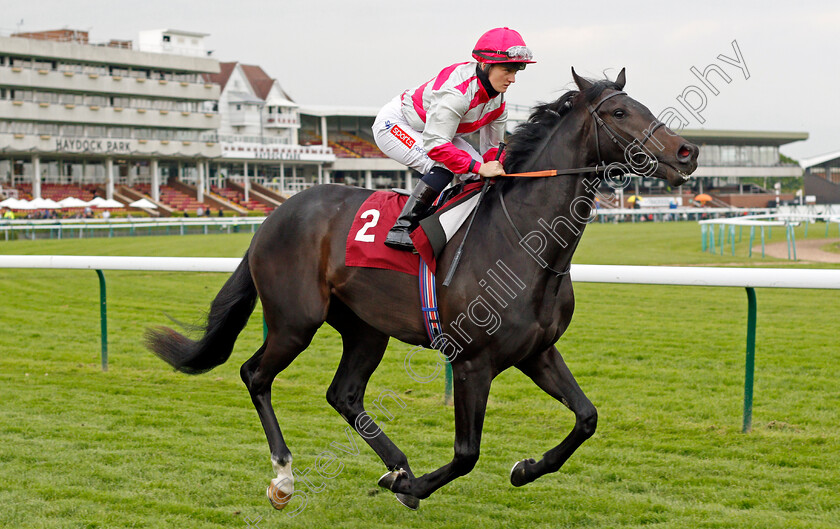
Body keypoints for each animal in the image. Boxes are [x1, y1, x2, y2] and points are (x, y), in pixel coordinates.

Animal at [148, 68, 700, 510]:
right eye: (620, 111)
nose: (687, 151)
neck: (527, 242)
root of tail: (272, 216)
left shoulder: (538, 351)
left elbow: (587, 417)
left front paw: (524, 469)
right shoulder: (473, 362)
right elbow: (467, 453)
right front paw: (415, 488)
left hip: (366, 329)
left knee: (343, 394)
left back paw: (398, 465)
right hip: (294, 320)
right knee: (255, 374)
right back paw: (286, 476)